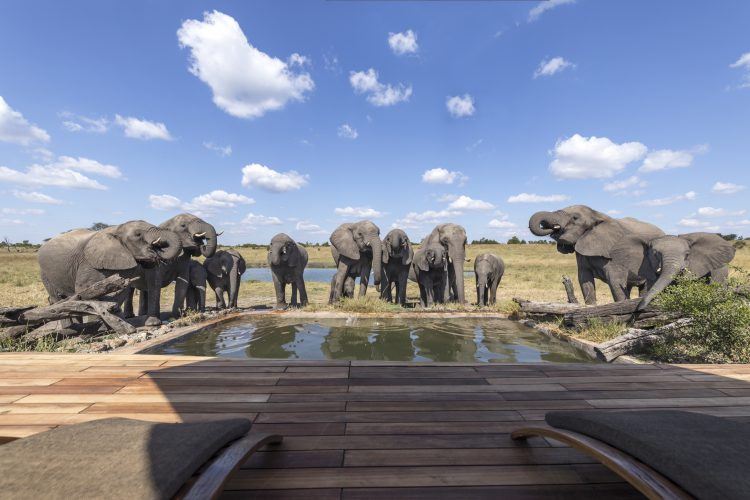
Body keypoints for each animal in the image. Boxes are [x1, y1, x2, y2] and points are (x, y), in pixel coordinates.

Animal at [39, 220, 182, 320]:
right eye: (138, 234)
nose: (158, 248)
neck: (117, 229)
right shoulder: (89, 262)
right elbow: (86, 290)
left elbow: (122, 290)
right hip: (44, 273)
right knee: (56, 298)